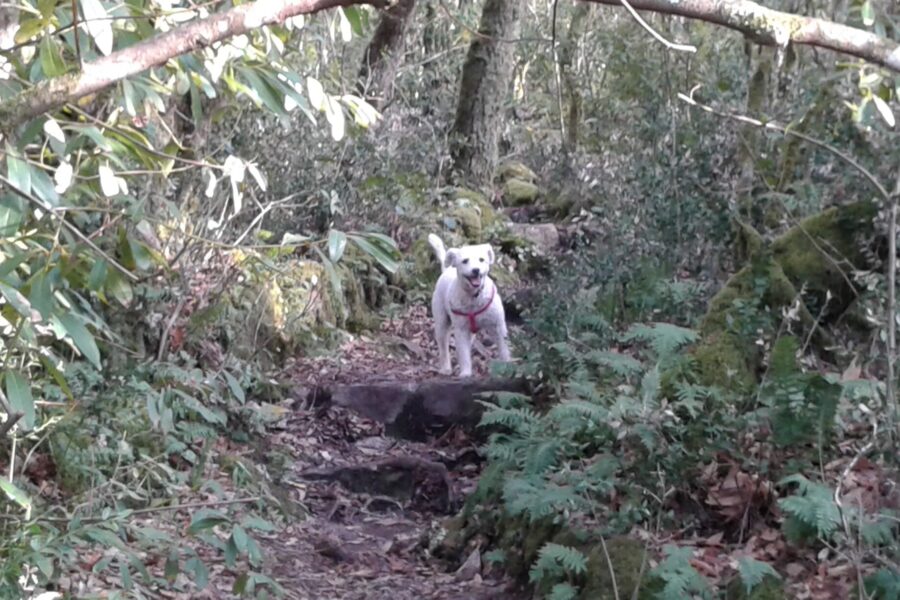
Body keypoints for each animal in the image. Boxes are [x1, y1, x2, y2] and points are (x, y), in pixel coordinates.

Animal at [428, 233, 510, 378]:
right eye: (465, 261)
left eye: (481, 260)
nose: (476, 270)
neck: (474, 297)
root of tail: (447, 269)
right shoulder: (461, 330)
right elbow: (463, 353)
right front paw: (465, 373)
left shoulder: (498, 326)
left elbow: (503, 348)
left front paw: (507, 367)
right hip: (441, 321)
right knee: (443, 346)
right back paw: (446, 368)